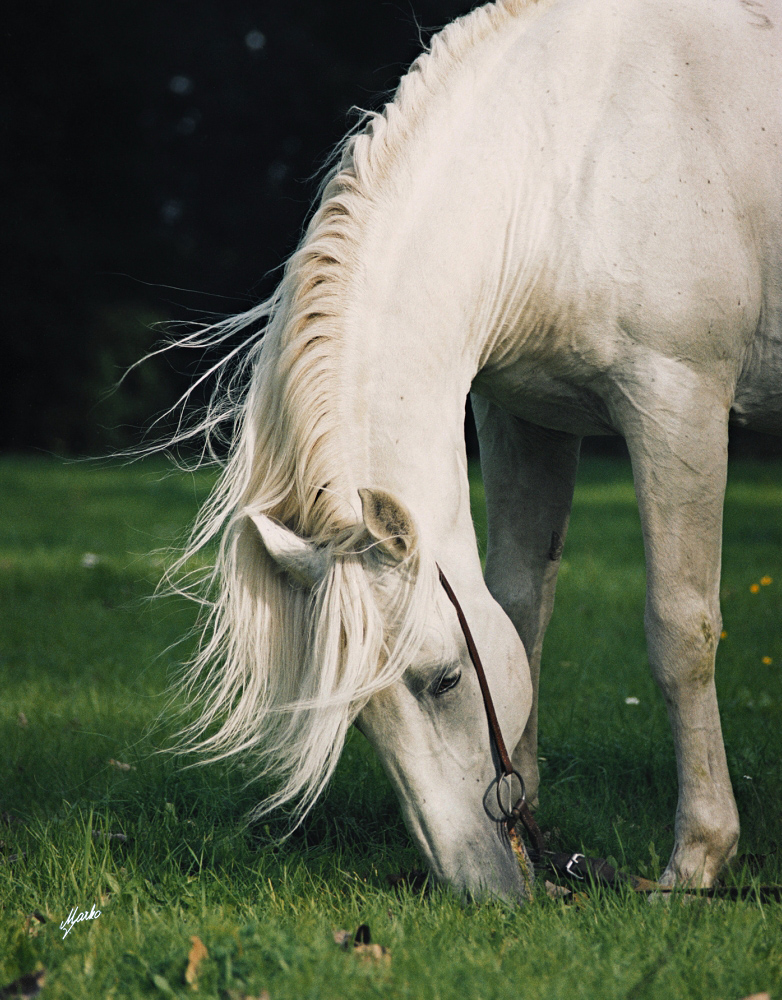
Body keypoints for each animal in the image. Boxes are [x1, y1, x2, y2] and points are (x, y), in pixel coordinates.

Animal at [167, 0, 782, 908]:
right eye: (360, 718)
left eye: (445, 680)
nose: (484, 895)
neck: (573, 154)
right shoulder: (524, 418)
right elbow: (522, 610)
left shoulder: (679, 405)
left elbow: (681, 629)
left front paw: (697, 860)